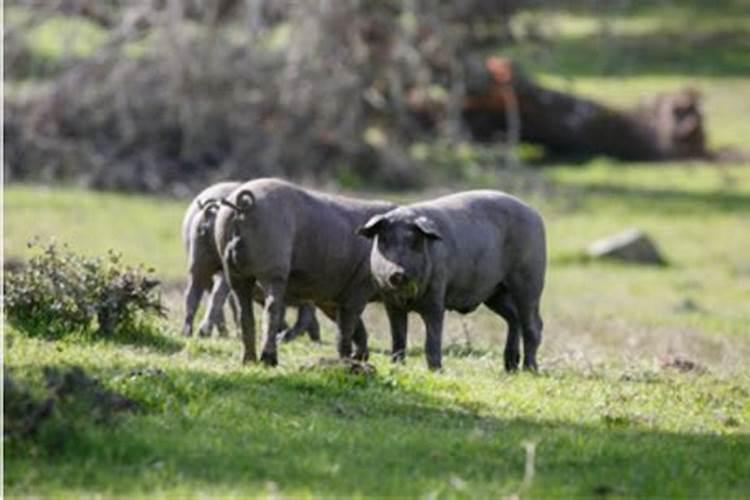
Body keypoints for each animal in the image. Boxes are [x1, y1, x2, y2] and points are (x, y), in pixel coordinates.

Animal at [185, 182, 324, 342]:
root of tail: (211, 213)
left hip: (198, 266)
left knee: (192, 294)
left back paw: (189, 332)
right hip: (222, 271)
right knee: (217, 296)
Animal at [214, 178, 396, 366]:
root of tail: (243, 204)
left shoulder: (332, 296)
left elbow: (352, 324)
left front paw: (359, 357)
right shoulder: (359, 286)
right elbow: (348, 323)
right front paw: (350, 360)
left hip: (230, 259)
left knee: (243, 308)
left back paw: (248, 361)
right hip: (273, 263)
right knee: (272, 307)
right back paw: (270, 361)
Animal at [358, 190, 548, 372]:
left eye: (415, 242)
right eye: (384, 240)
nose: (397, 273)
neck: (408, 299)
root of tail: (535, 213)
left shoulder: (437, 296)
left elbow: (432, 338)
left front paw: (436, 371)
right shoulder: (391, 303)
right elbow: (398, 338)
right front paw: (397, 366)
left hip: (530, 280)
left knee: (533, 324)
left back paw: (530, 370)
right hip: (495, 293)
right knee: (514, 318)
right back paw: (510, 369)